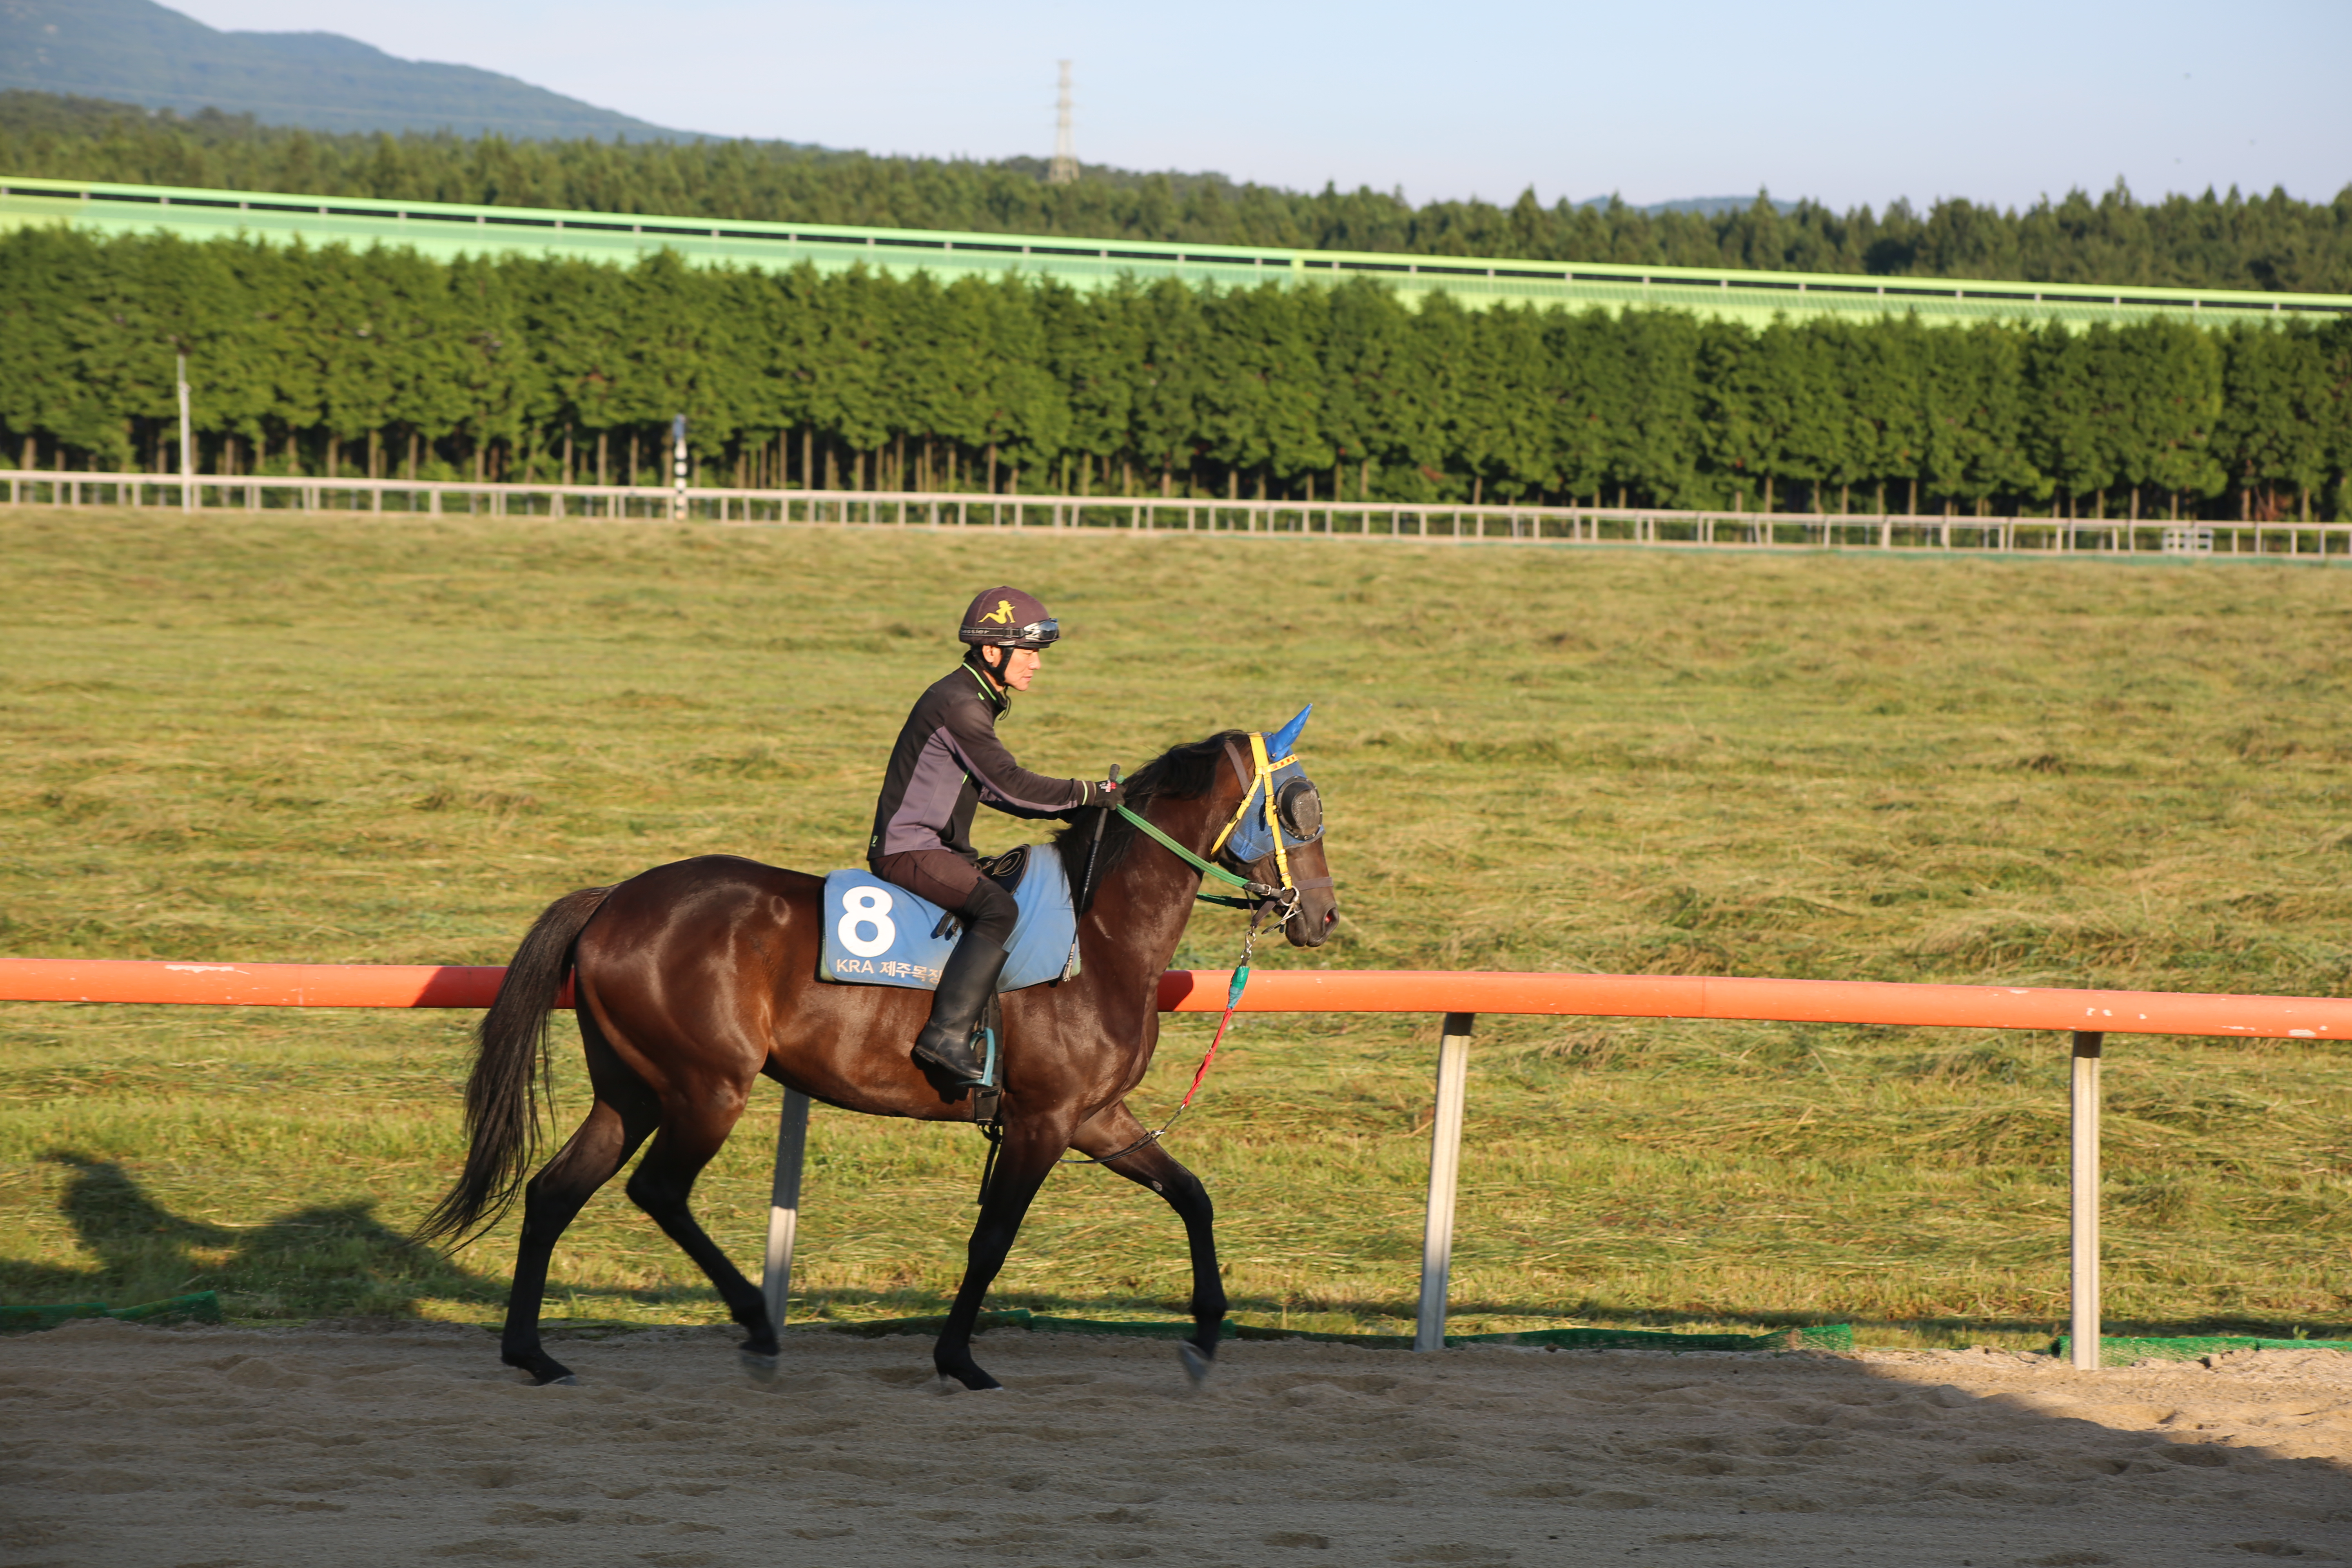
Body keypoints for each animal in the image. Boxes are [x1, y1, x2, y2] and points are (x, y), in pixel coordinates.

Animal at [419, 728, 1345, 1392]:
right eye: (1299, 809)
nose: (1323, 916)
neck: (1101, 935)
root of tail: (611, 899)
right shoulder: (1043, 1121)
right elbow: (993, 1239)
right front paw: (958, 1358)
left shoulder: (1096, 1118)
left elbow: (1192, 1196)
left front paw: (1207, 1331)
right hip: (707, 1087)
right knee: (659, 1191)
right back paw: (756, 1323)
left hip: (632, 1092)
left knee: (554, 1191)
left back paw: (532, 1353)